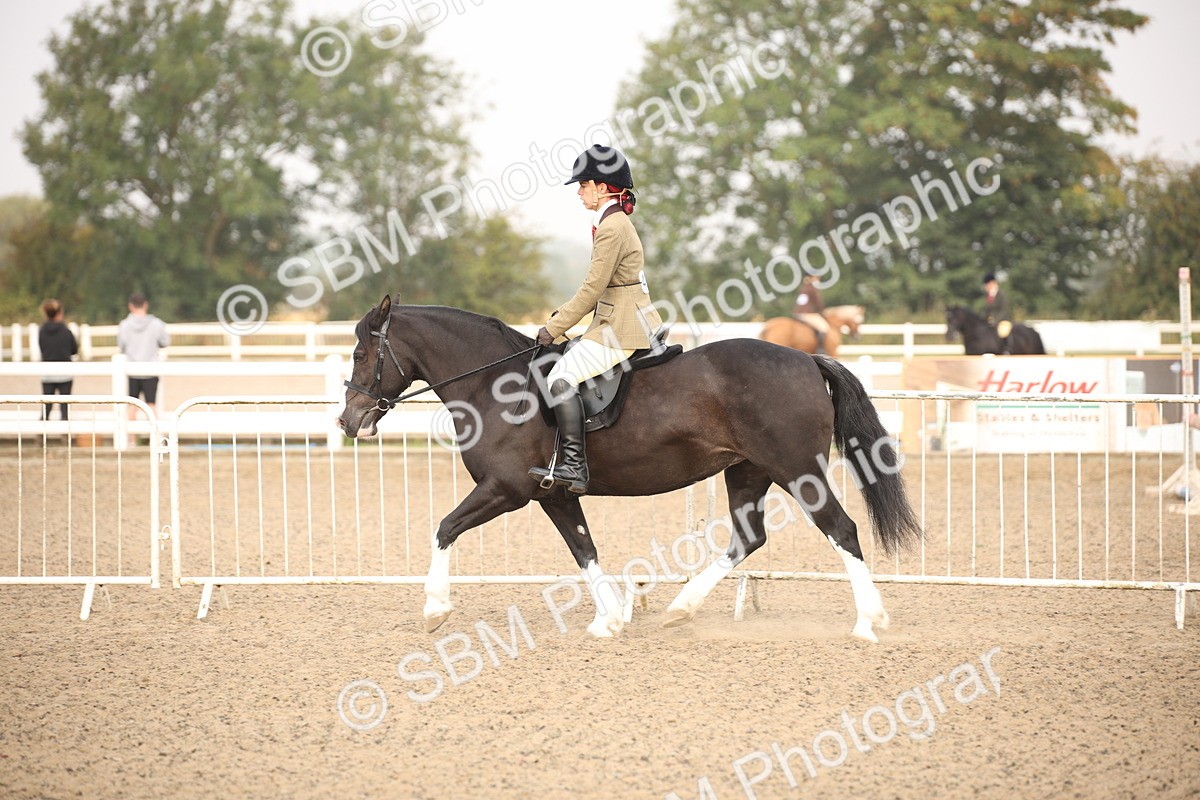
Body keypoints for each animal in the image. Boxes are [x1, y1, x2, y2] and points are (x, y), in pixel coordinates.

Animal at [336, 297, 922, 642]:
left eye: (362, 354)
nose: (348, 420)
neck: (494, 386)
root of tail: (805, 358)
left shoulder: (506, 489)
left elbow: (444, 528)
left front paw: (435, 610)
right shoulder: (553, 494)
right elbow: (584, 549)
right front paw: (610, 619)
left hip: (798, 470)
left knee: (841, 529)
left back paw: (868, 623)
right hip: (748, 471)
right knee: (748, 538)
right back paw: (682, 608)